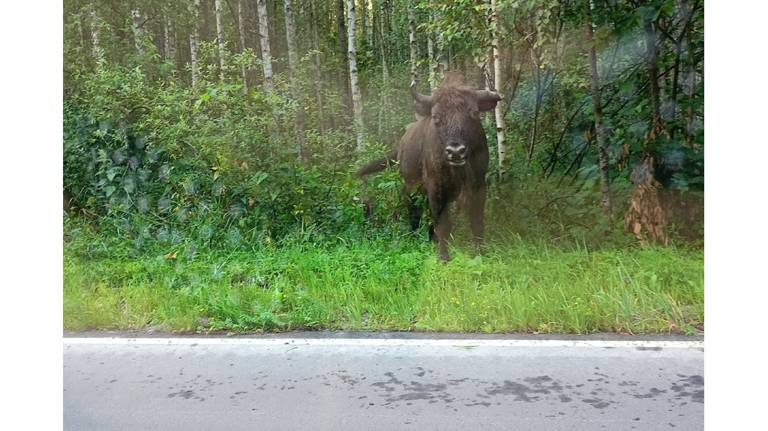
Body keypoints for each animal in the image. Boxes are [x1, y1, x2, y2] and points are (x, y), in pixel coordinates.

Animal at [356, 73, 500, 262]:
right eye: (436, 117)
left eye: (474, 113)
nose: (455, 151)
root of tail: (401, 143)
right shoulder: (435, 187)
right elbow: (443, 222)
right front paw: (443, 257)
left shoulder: (478, 185)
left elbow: (477, 222)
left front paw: (480, 253)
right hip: (411, 187)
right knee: (414, 211)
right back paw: (415, 237)